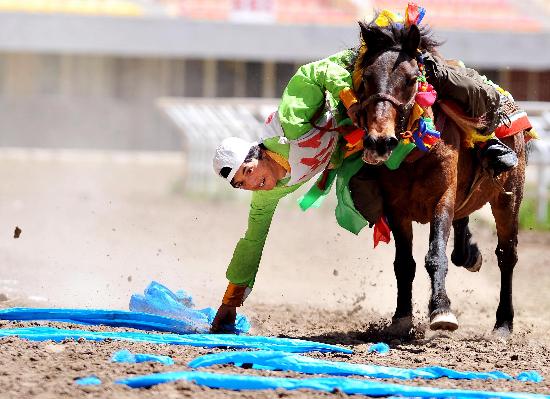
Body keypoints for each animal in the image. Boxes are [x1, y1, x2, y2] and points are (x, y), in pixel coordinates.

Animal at [356, 20, 528, 336]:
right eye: (367, 79)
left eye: (411, 79)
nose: (379, 141)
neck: (415, 154)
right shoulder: (396, 209)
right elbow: (404, 263)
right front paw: (401, 316)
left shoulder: (442, 199)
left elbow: (436, 255)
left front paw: (441, 310)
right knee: (464, 236)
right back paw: (471, 255)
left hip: (508, 198)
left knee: (506, 255)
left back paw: (503, 323)